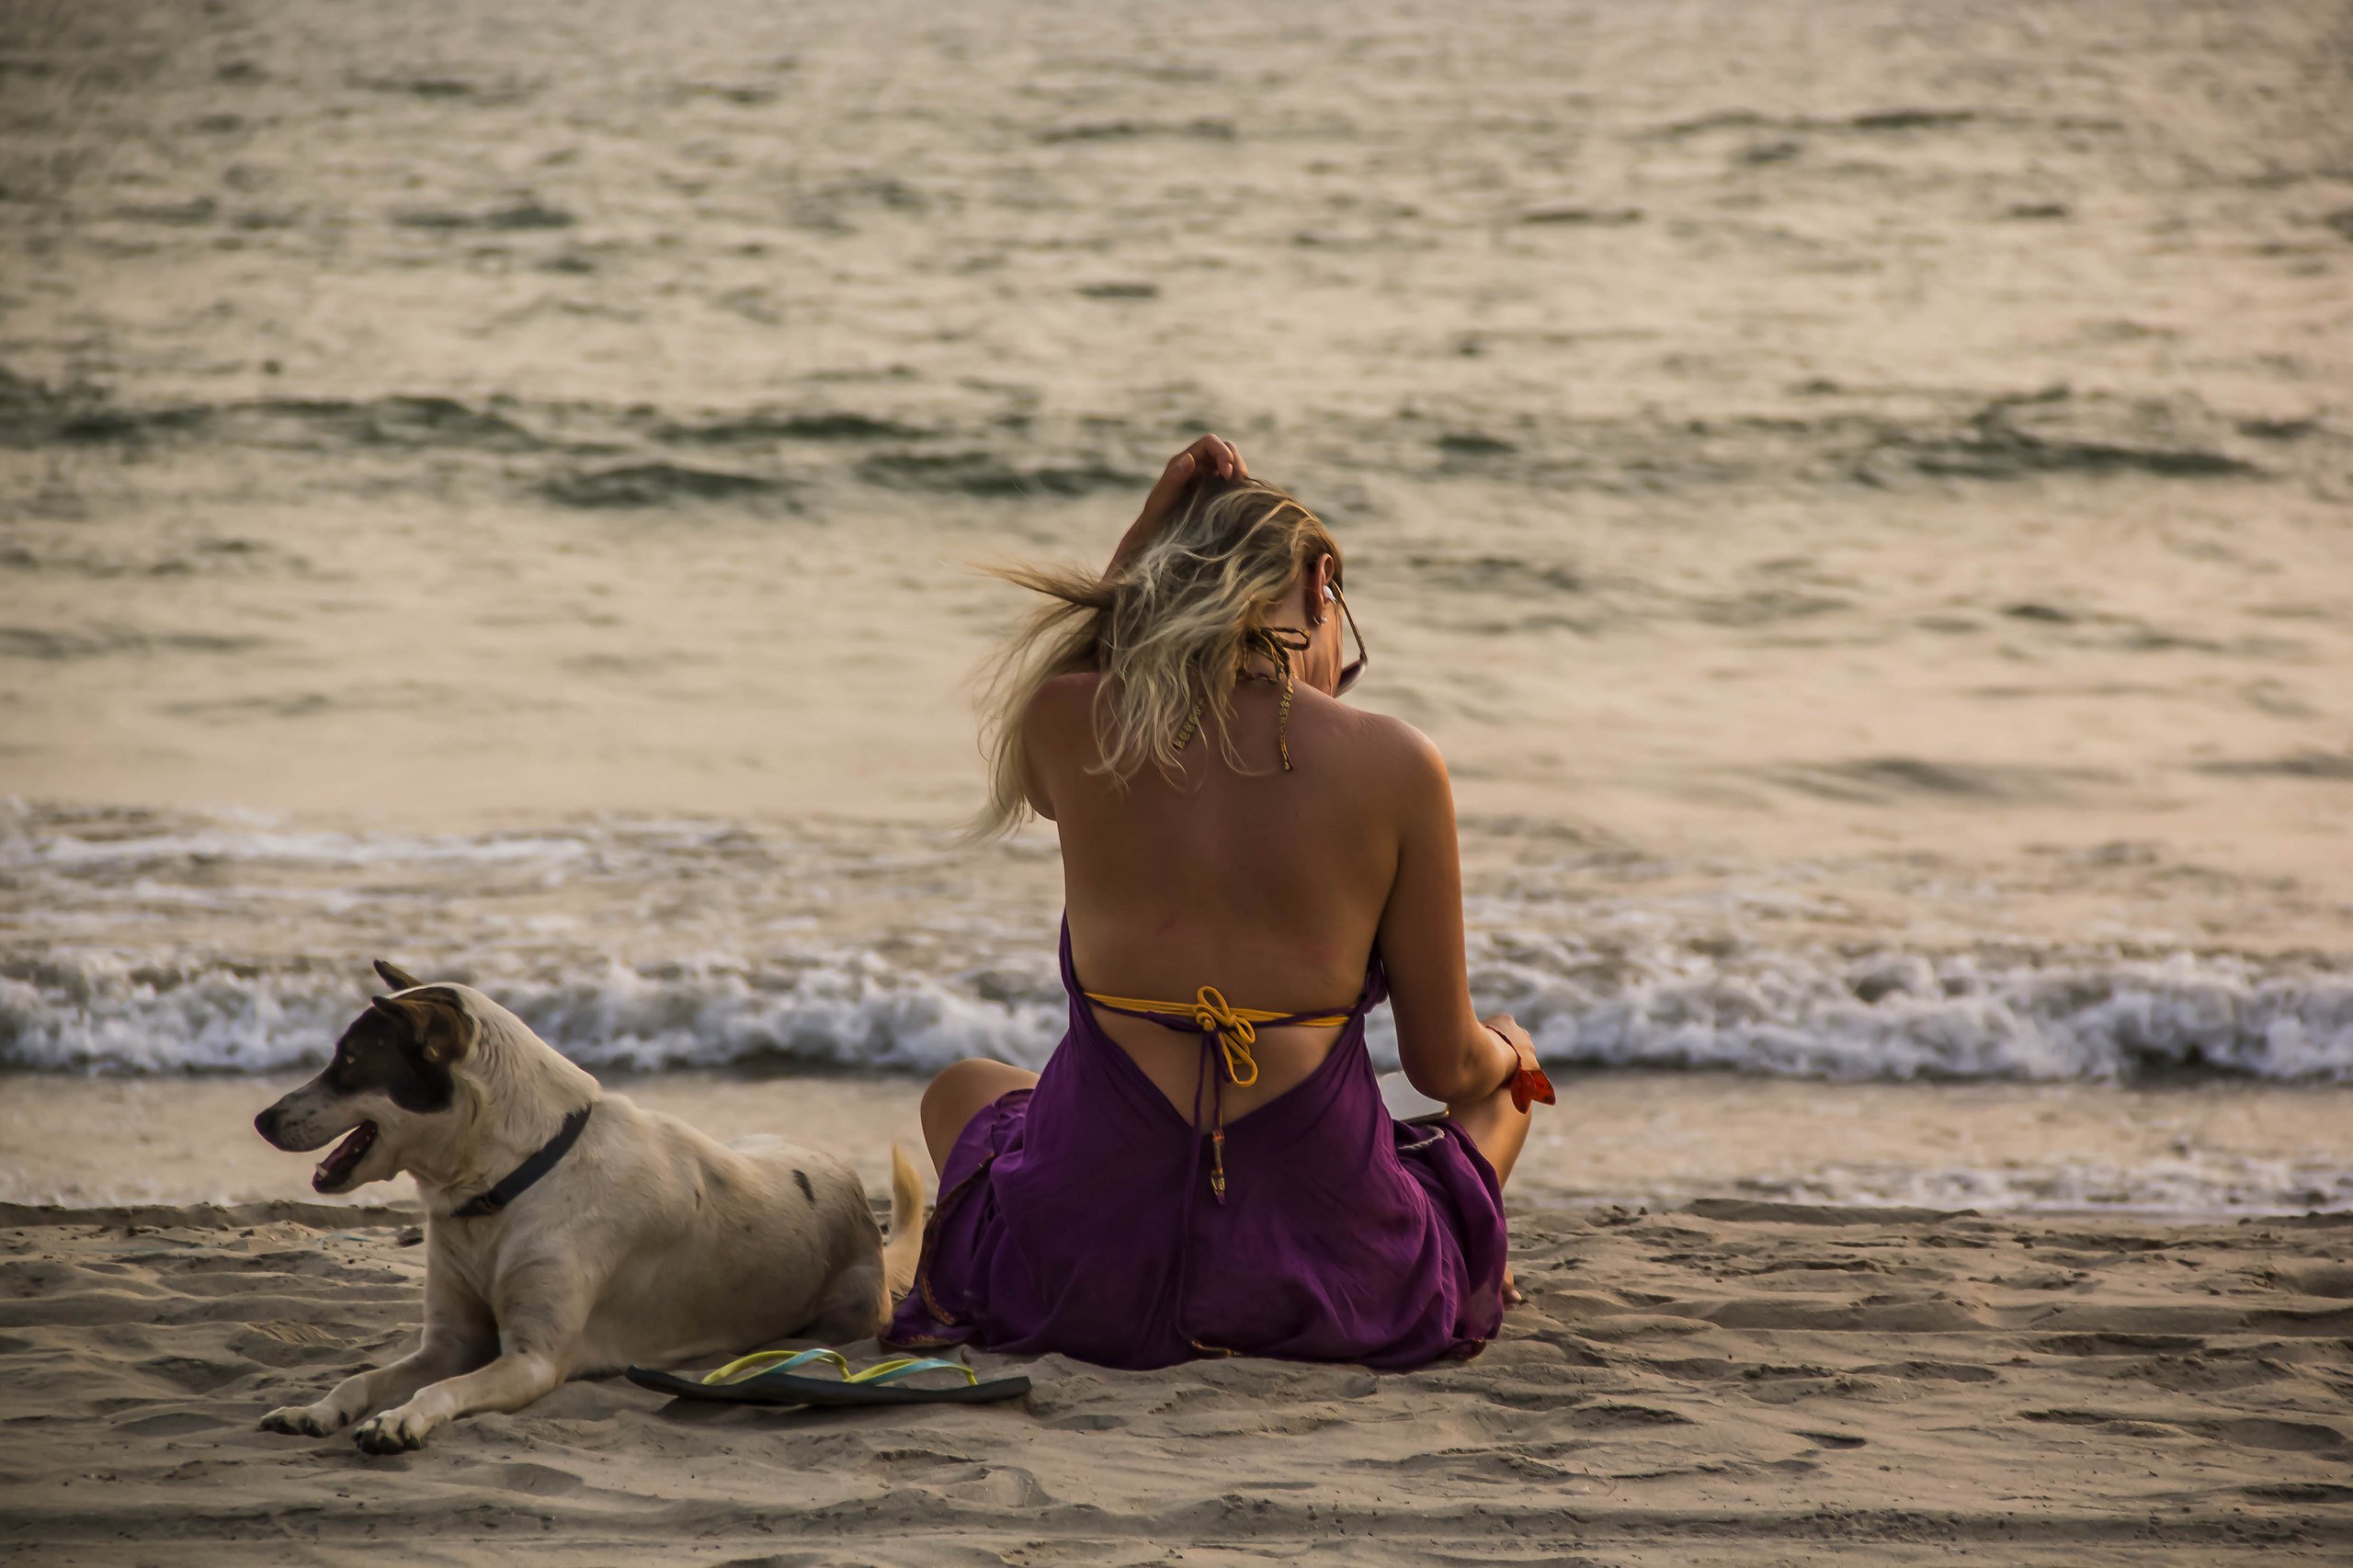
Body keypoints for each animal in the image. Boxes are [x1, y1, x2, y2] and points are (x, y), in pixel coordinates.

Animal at [253, 960, 917, 1449]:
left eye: (349, 1063)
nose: (262, 1120)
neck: (510, 1180)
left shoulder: (531, 1359)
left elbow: (436, 1392)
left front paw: (398, 1420)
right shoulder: (449, 1344)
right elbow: (366, 1378)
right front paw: (316, 1409)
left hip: (843, 1316)